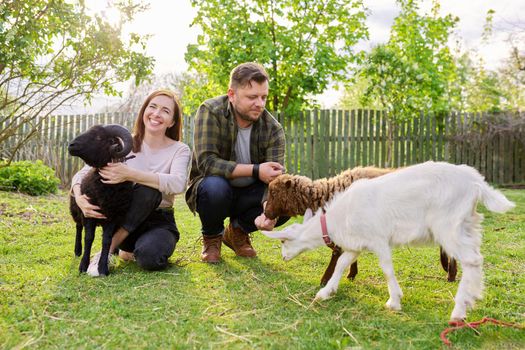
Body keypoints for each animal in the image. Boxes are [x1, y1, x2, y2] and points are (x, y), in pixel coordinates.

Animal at [68, 125, 134, 276]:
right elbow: (89, 238)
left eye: (98, 137)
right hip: (76, 211)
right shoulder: (89, 214)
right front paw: (83, 265)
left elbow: (107, 241)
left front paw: (103, 268)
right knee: (78, 227)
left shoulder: (113, 217)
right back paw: (77, 250)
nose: (71, 145)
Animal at [264, 165, 456, 286]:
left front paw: (325, 281)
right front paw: (351, 274)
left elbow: (337, 253)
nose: (265, 213)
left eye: (273, 192)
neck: (325, 196)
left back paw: (450, 274)